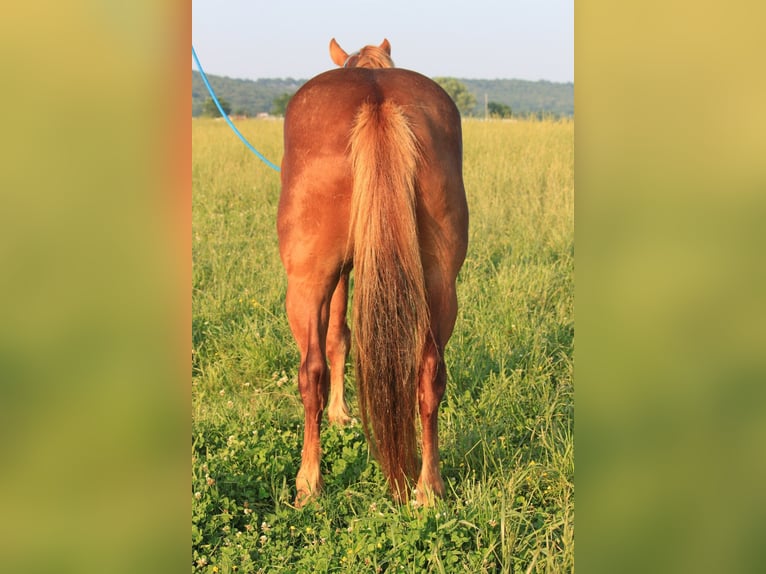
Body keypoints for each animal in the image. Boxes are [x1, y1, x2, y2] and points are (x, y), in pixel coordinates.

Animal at [276, 38, 468, 508]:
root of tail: (377, 100)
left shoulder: (339, 274)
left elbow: (337, 339)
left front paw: (340, 414)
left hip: (306, 283)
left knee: (311, 371)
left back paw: (309, 483)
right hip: (440, 282)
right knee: (430, 371)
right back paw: (428, 489)